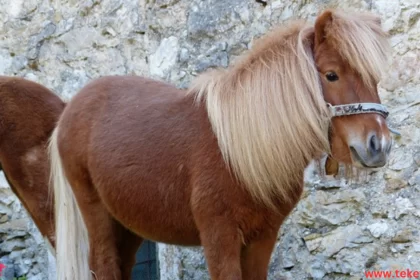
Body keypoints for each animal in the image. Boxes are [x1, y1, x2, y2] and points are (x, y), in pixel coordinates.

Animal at [50, 9, 394, 280]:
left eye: (375, 78)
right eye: (331, 75)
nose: (379, 145)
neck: (241, 152)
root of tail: (69, 110)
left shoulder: (262, 237)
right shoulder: (219, 236)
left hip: (128, 222)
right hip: (96, 213)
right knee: (103, 264)